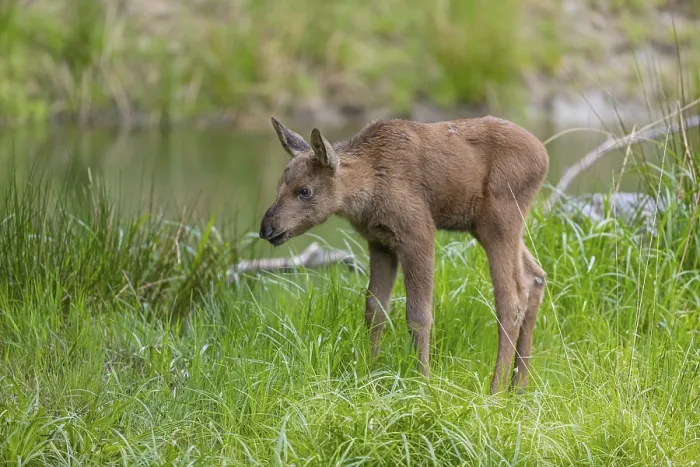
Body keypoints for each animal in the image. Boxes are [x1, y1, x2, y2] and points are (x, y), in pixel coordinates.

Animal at [258, 115, 549, 394]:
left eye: (305, 191)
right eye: (279, 185)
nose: (266, 228)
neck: (368, 190)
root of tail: (544, 158)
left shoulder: (418, 232)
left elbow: (419, 315)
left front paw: (424, 383)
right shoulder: (380, 243)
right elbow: (375, 310)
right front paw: (371, 372)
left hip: (500, 220)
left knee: (511, 300)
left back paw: (495, 390)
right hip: (483, 226)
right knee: (535, 276)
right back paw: (519, 387)